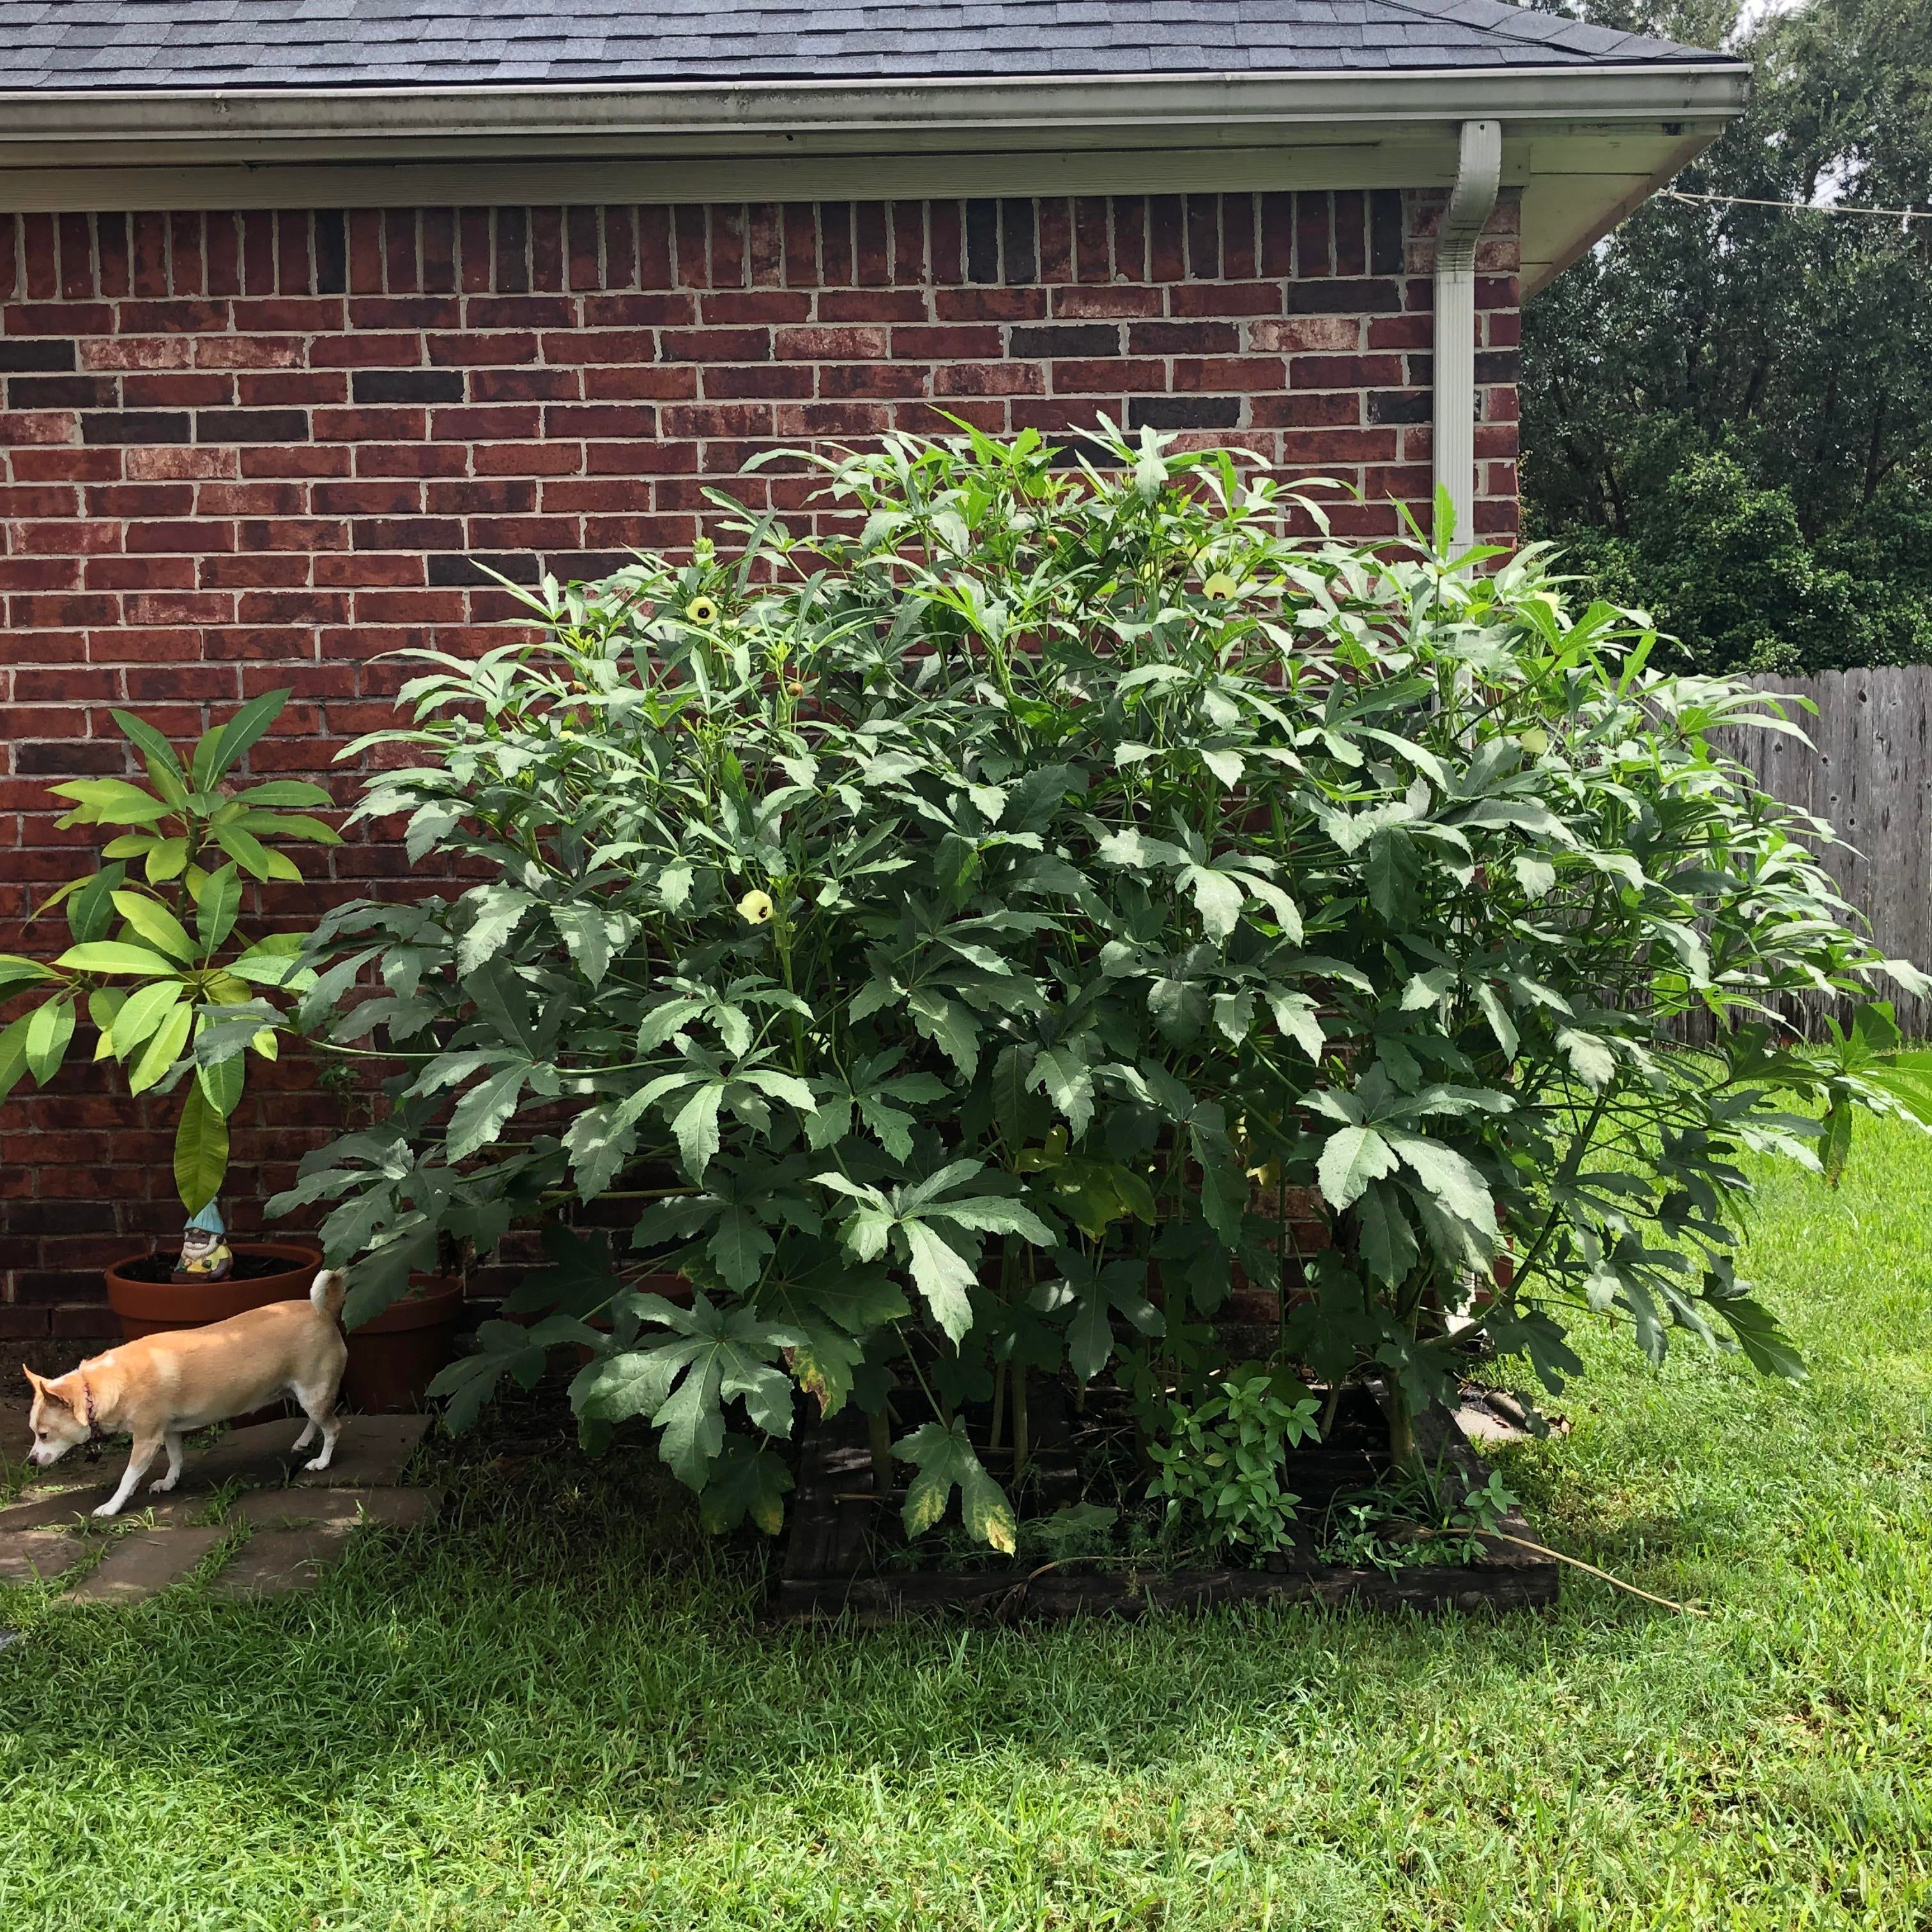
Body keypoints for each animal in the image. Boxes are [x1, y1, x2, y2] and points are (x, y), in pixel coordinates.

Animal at [22, 1267, 351, 1522]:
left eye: (44, 1434)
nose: (30, 1461)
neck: (96, 1385)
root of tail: (324, 1311)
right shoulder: (168, 1432)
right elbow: (176, 1458)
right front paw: (169, 1482)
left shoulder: (146, 1440)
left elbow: (129, 1477)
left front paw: (111, 1507)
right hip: (296, 1391)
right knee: (316, 1419)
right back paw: (304, 1442)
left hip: (311, 1392)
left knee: (334, 1426)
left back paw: (322, 1461)